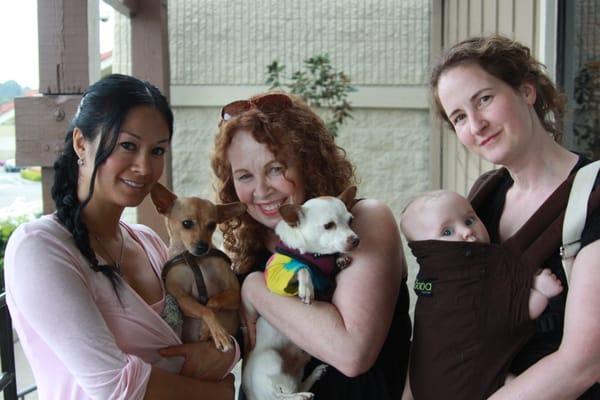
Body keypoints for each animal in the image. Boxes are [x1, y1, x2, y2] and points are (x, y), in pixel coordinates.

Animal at [244, 187, 360, 400]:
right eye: (328, 225)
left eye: (351, 221)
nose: (355, 239)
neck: (317, 256)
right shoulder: (278, 277)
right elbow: (303, 267)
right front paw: (306, 287)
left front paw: (340, 259)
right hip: (271, 359)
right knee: (280, 395)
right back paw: (300, 396)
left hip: (297, 371)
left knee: (295, 384)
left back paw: (313, 376)